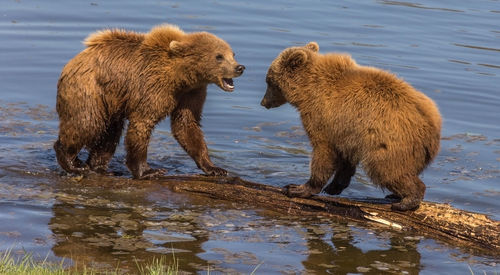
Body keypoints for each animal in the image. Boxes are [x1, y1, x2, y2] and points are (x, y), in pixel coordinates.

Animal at [53, 24, 245, 180]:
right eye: (219, 56)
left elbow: (186, 124)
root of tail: (76, 59)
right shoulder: (153, 87)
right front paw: (148, 171)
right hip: (90, 90)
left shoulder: (191, 93)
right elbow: (142, 124)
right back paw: (73, 162)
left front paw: (215, 168)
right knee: (87, 123)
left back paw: (100, 167)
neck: (181, 77)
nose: (239, 67)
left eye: (232, 53)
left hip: (112, 100)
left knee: (110, 132)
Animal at [262, 42, 442, 211]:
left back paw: (406, 201)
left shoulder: (323, 117)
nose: (263, 102)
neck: (307, 90)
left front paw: (298, 188)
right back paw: (396, 195)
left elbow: (323, 151)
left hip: (390, 143)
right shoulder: (347, 130)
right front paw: (334, 186)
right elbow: (345, 158)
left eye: (269, 81)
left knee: (386, 169)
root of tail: (433, 127)